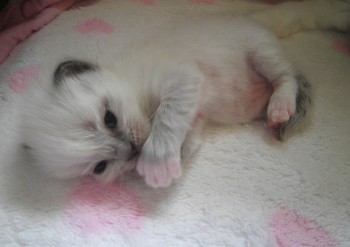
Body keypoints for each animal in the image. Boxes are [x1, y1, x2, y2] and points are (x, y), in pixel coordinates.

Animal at [21, 0, 350, 187]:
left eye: (110, 119)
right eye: (100, 167)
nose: (130, 151)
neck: (133, 85)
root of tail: (253, 19)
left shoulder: (182, 79)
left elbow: (166, 121)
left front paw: (155, 163)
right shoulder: (195, 116)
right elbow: (186, 139)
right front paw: (163, 164)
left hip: (260, 51)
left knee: (286, 76)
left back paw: (280, 106)